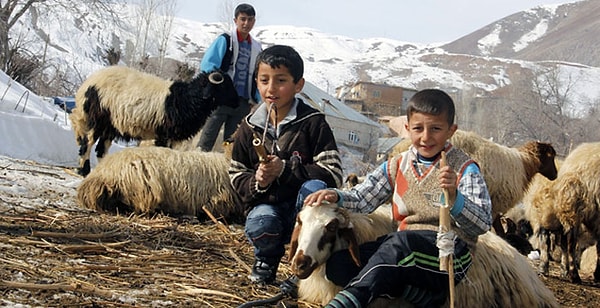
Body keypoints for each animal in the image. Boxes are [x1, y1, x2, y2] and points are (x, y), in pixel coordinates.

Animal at [69, 65, 238, 176]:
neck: (186, 99)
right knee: (87, 142)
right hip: (97, 119)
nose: (237, 101)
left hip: (110, 125)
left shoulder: (172, 138)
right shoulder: (163, 135)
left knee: (101, 149)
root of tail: (87, 84)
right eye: (225, 87)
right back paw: (83, 170)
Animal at [390, 130, 556, 236]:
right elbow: (497, 230)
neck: (525, 163)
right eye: (551, 156)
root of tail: (398, 147)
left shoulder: (494, 204)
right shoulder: (497, 204)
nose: (555, 175)